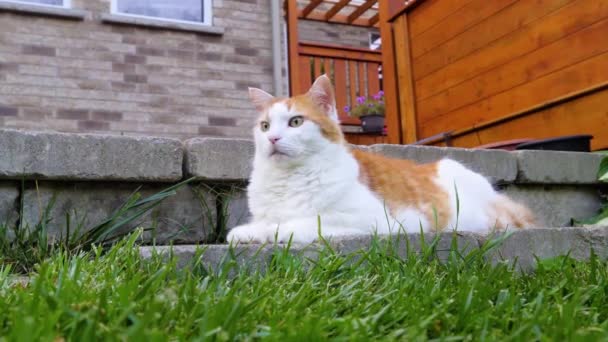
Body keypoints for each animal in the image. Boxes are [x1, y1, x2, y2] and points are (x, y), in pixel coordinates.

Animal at [226, 75, 536, 243]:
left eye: (296, 122)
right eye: (265, 126)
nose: (272, 139)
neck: (288, 178)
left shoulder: (373, 220)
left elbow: (304, 222)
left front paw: (276, 230)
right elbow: (261, 223)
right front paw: (249, 232)